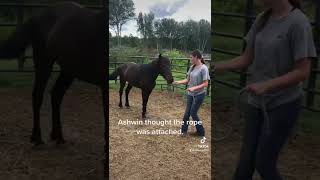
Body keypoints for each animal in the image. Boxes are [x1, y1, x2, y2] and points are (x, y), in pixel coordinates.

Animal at [0, 0, 107, 175]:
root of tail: (38, 15)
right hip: (44, 62)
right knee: (38, 95)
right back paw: (37, 139)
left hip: (68, 69)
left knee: (56, 95)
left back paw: (58, 137)